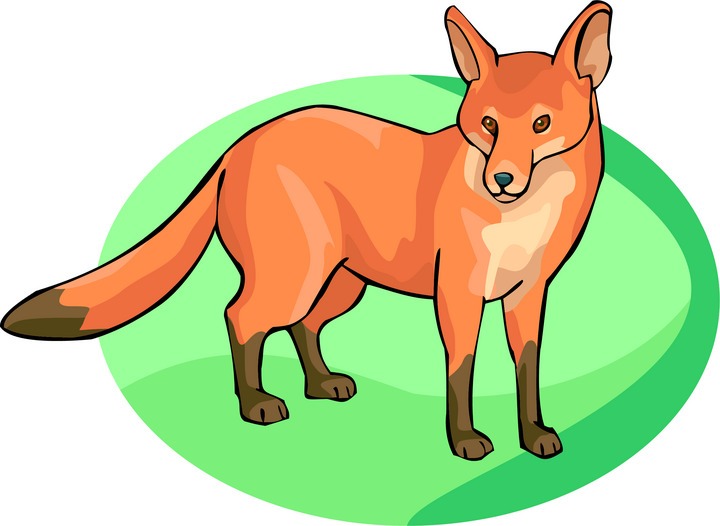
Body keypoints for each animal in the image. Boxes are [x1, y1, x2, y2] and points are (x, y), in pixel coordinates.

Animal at [2, 3, 611, 461]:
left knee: (302, 325)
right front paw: (464, 440)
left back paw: (320, 386)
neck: (525, 220)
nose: (502, 179)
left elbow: (527, 367)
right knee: (241, 317)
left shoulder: (528, 293)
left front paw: (534, 437)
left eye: (540, 124)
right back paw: (256, 405)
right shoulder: (459, 293)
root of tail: (237, 146)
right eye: (487, 124)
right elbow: (461, 370)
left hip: (339, 283)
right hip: (295, 276)